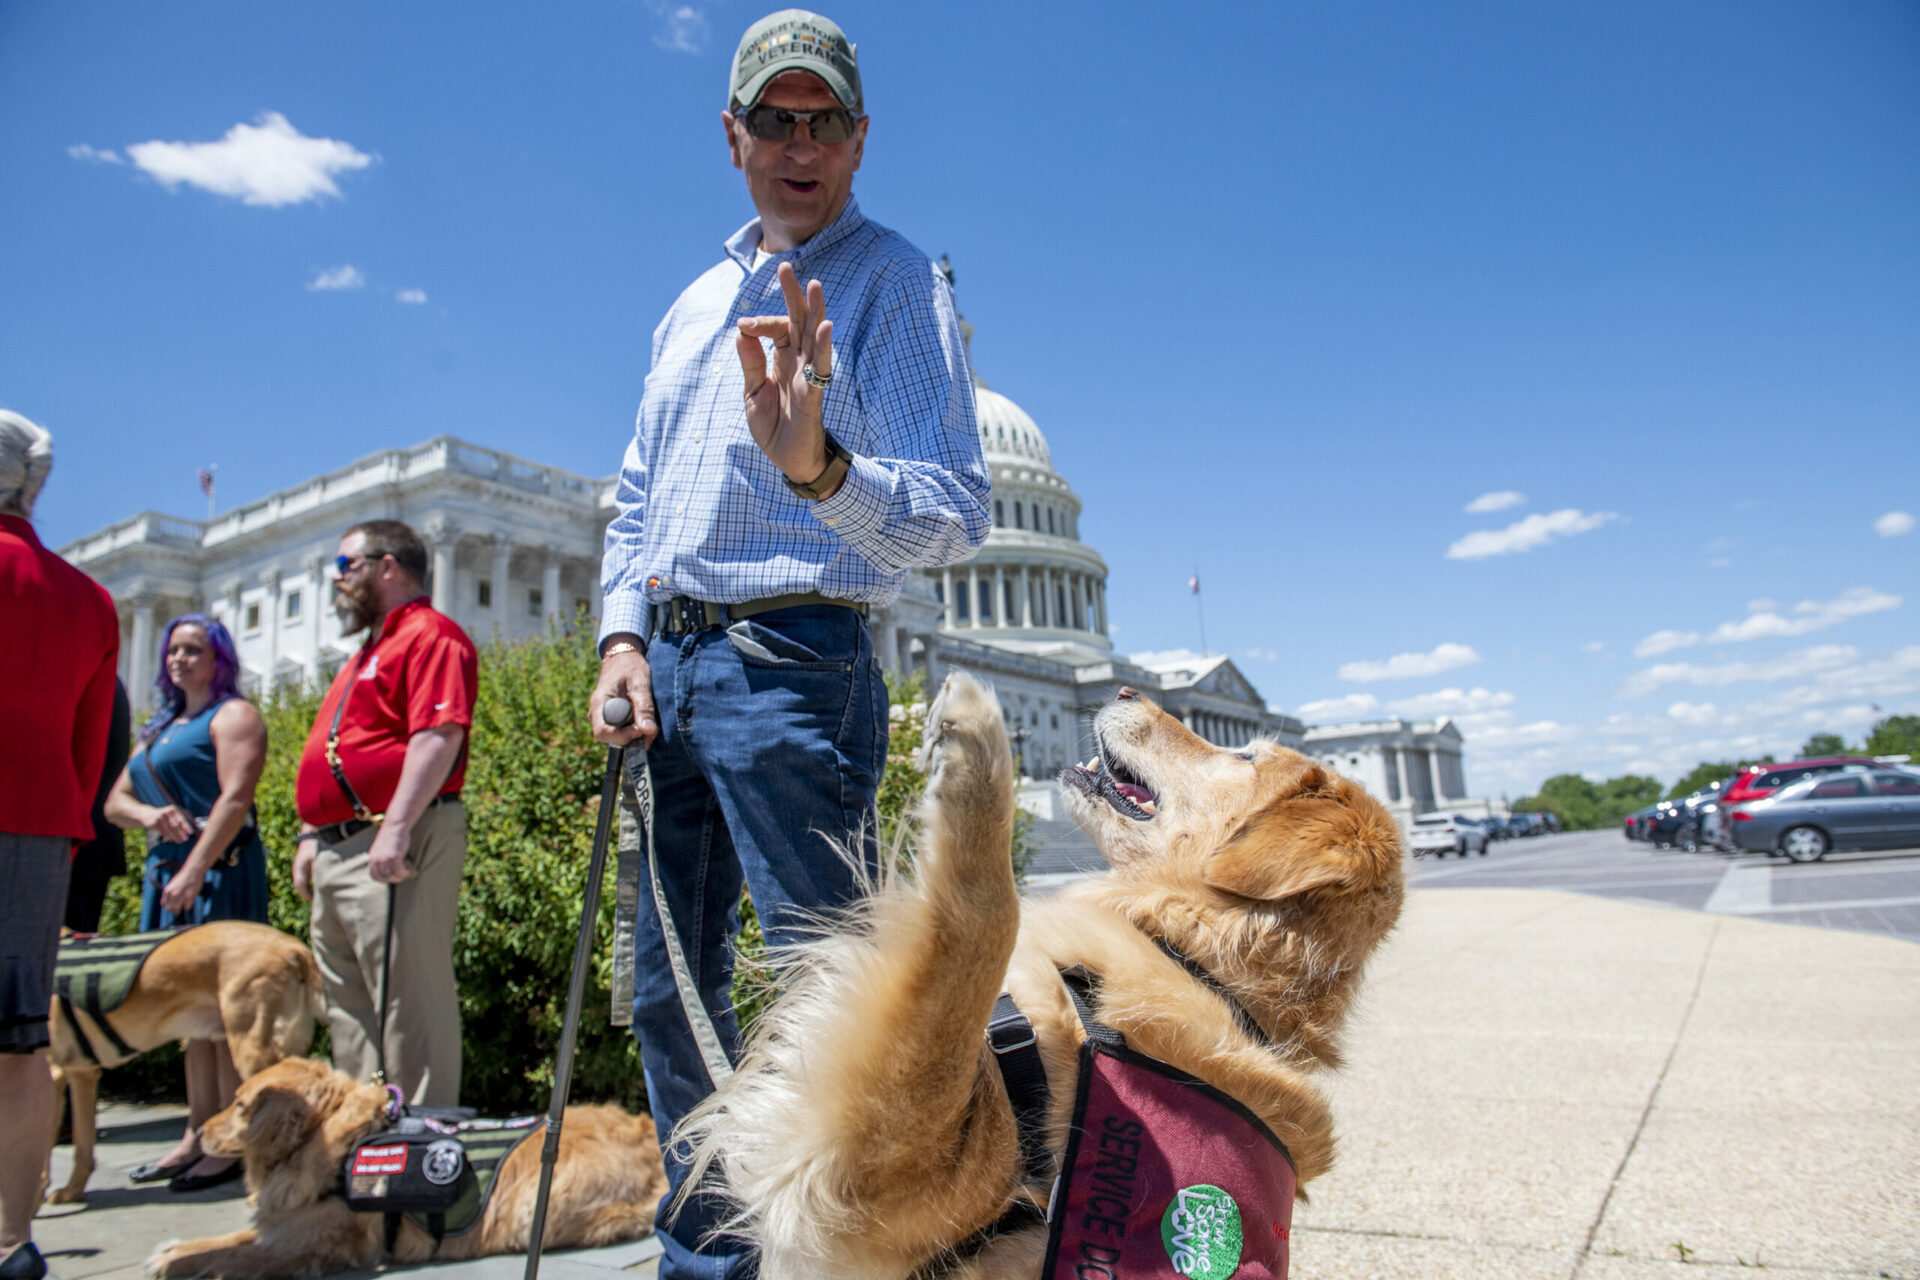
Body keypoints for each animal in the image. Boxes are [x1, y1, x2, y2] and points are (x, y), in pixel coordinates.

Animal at [46, 921, 324, 1212]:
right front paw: (72, 1192)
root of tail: (293, 948)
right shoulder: (81, 1074)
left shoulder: (49, 1077)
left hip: (253, 1052)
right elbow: (82, 1145)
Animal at [144, 1059, 668, 1280]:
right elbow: (231, 1240)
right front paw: (174, 1250)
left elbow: (238, 1258)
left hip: (535, 1206)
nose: (201, 1131)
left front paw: (188, 1264)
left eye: (238, 1105)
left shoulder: (310, 1248)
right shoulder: (287, 1226)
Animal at [683, 675, 1405, 1274]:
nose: (1124, 689)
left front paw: (973, 734)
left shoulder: (874, 1178)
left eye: (1245, 757)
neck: (1195, 958)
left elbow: (983, 917)